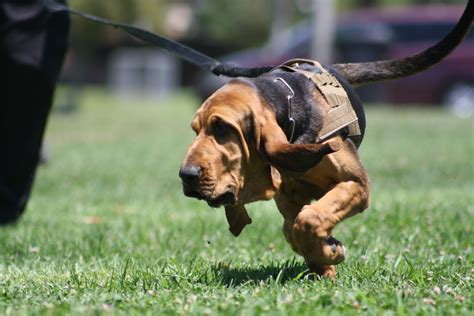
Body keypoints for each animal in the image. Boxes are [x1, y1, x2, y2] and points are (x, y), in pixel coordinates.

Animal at [180, 2, 472, 278]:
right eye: (195, 130)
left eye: (222, 128)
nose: (186, 175)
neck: (289, 108)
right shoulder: (288, 196)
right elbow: (296, 228)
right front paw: (326, 258)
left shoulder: (356, 184)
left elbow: (309, 221)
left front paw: (329, 253)